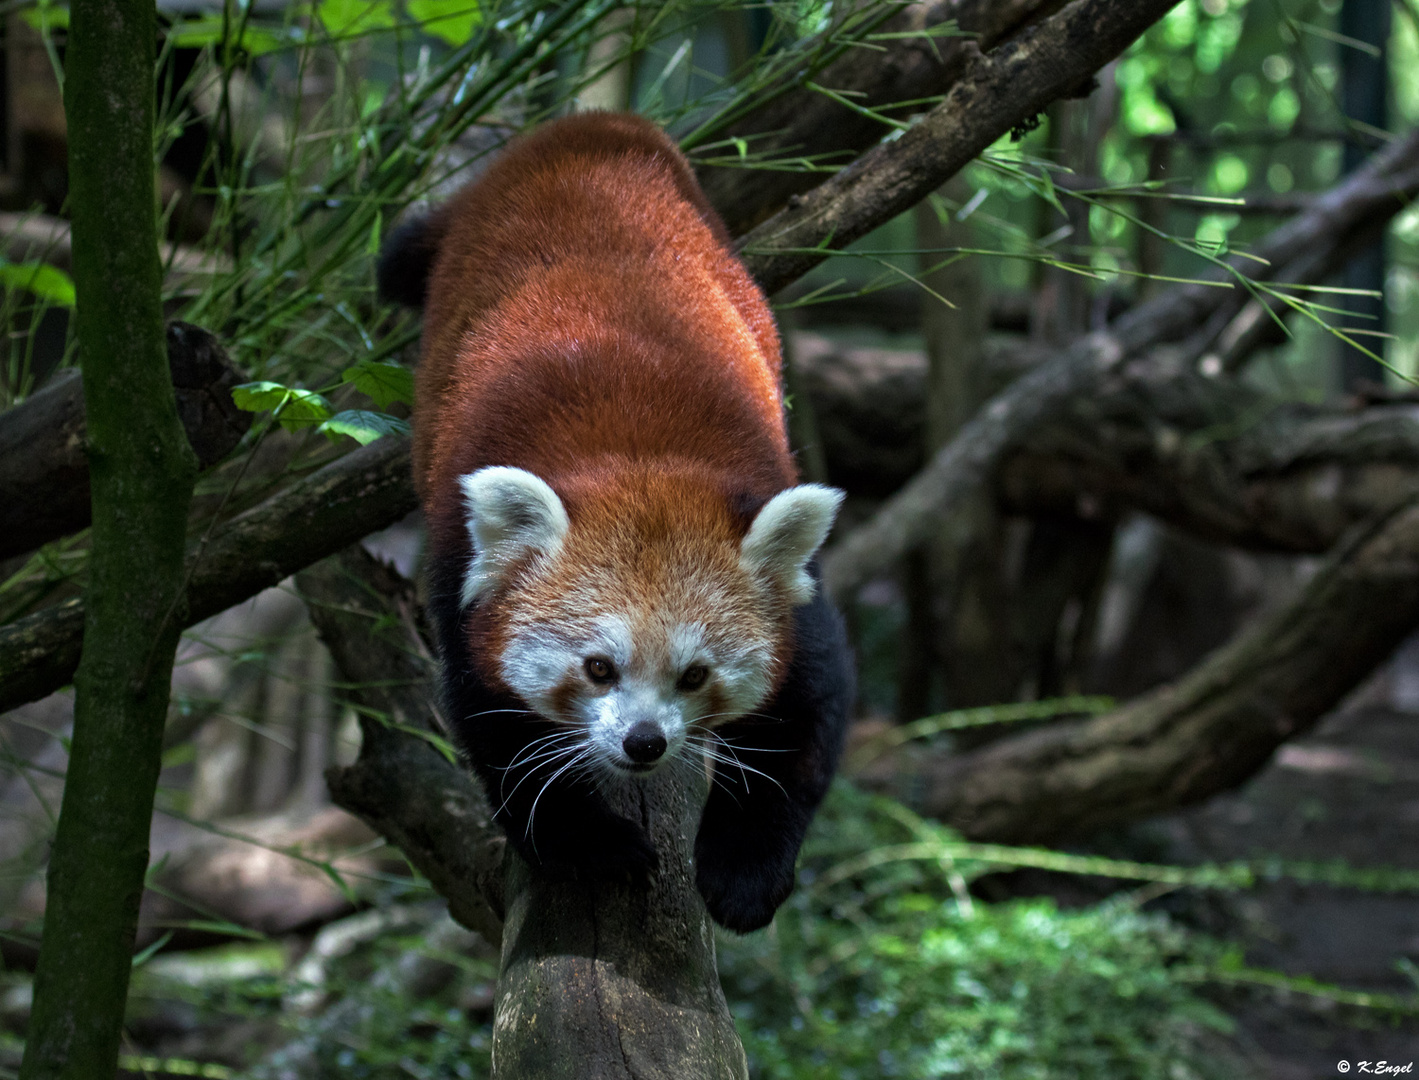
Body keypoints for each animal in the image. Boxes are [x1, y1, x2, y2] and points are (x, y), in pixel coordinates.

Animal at [377, 111, 851, 936]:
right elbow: (498, 727)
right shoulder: (460, 569)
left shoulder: (794, 587)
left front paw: (744, 875)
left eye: (694, 674)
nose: (644, 742)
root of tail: (589, 128)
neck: (638, 462)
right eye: (598, 667)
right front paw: (591, 846)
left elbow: (804, 721)